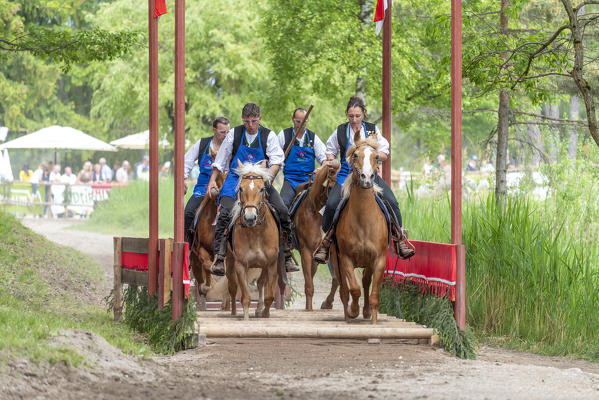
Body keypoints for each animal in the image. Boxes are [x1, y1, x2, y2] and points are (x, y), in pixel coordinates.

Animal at [226, 159, 280, 318]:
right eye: (241, 189)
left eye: (262, 189)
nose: (250, 217)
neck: (256, 233)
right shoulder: (240, 265)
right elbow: (245, 296)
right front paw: (245, 317)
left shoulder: (272, 264)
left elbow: (269, 296)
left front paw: (264, 314)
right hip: (229, 262)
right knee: (232, 287)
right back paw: (233, 312)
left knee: (261, 283)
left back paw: (259, 309)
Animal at [292, 159, 340, 310]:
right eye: (330, 186)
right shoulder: (306, 251)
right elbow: (309, 285)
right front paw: (309, 309)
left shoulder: (328, 252)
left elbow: (336, 279)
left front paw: (327, 303)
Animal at [328, 133, 390, 324]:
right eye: (355, 155)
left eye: (376, 157)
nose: (366, 178)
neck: (364, 222)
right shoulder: (345, 259)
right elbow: (354, 289)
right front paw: (354, 311)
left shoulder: (379, 259)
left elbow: (373, 292)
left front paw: (372, 318)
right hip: (336, 260)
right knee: (344, 289)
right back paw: (348, 315)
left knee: (365, 281)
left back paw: (367, 311)